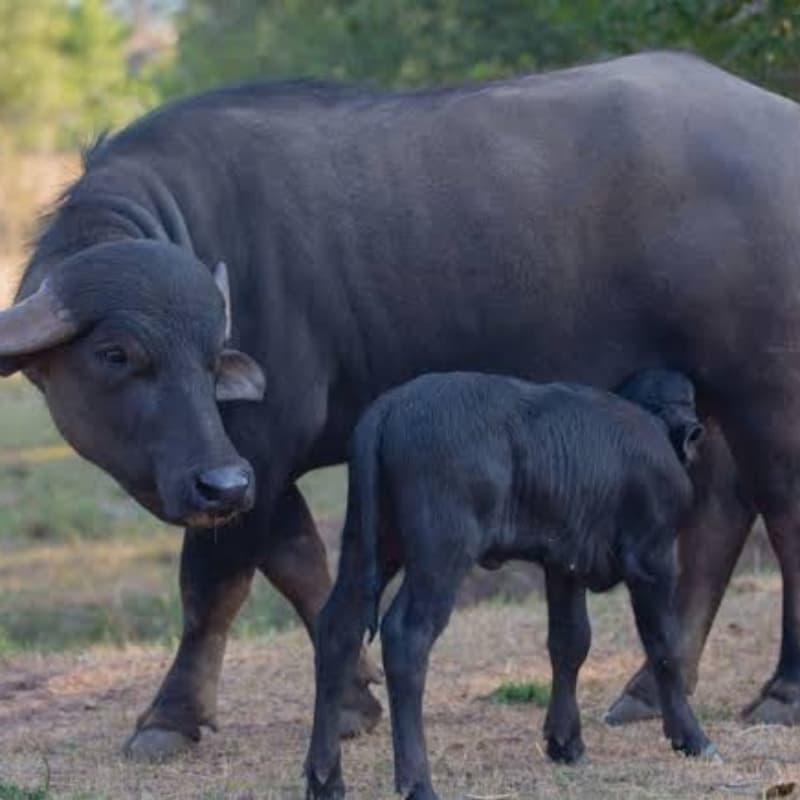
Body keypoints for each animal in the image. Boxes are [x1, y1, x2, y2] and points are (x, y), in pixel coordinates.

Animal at [306, 369, 713, 800]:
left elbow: (570, 642)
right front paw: (691, 736)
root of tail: (390, 407)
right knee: (405, 636)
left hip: (369, 547)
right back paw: (417, 782)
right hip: (440, 556)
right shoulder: (653, 560)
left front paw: (564, 741)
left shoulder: (563, 565)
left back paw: (325, 777)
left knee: (338, 629)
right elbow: (665, 646)